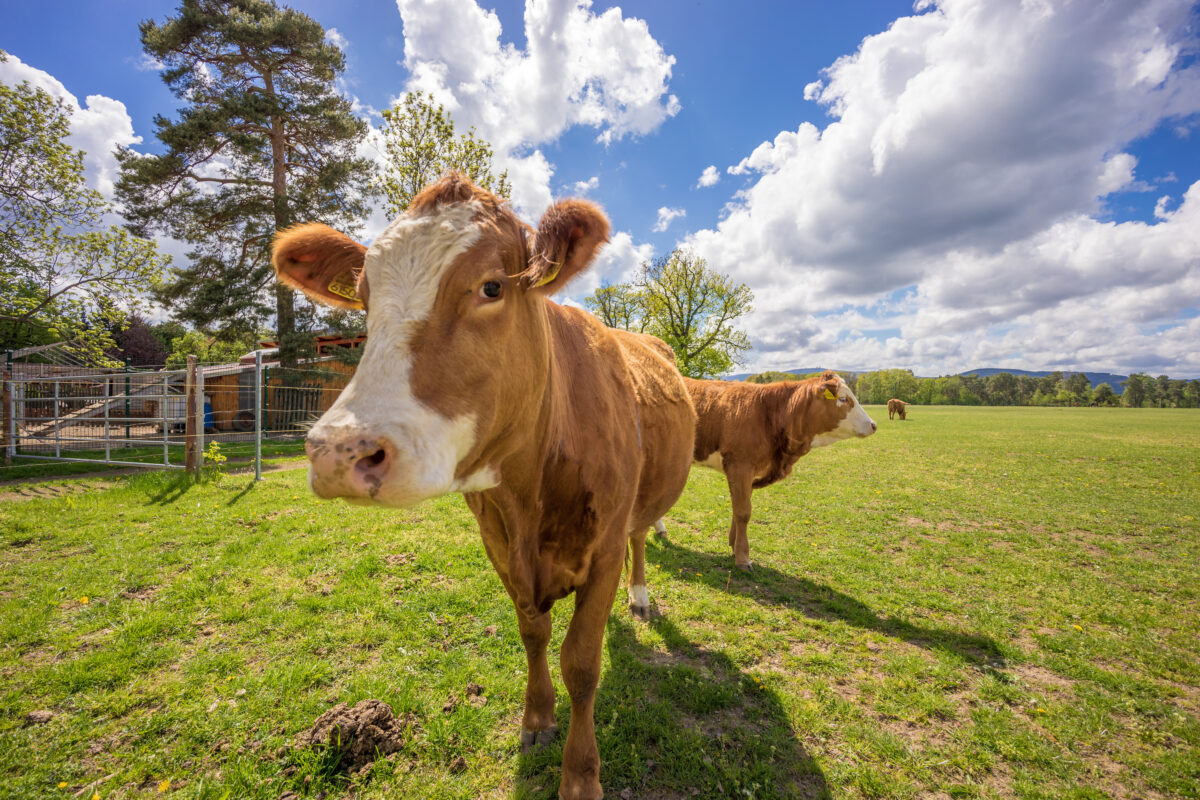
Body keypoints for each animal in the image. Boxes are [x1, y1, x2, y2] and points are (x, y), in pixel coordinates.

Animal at [271, 175, 696, 800]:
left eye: (491, 287)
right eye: (365, 299)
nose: (338, 453)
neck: (529, 493)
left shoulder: (603, 545)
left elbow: (582, 662)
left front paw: (580, 774)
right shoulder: (498, 545)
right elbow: (534, 634)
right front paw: (537, 719)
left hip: (636, 513)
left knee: (641, 538)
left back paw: (638, 596)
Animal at [662, 374, 878, 568]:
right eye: (843, 399)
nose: (873, 425)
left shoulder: (747, 473)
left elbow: (738, 509)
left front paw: (733, 545)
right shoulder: (740, 466)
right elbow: (743, 512)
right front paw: (743, 558)